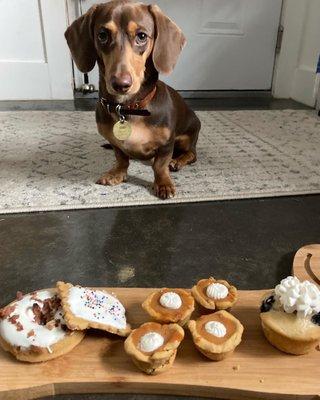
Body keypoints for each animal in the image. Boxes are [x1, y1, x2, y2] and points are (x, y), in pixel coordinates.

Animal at [64, 0, 200, 199]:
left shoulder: (167, 144)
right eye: (102, 35)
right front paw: (116, 174)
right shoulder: (115, 143)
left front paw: (164, 184)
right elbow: (121, 159)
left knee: (191, 154)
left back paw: (177, 161)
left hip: (186, 138)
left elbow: (160, 165)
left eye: (142, 36)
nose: (121, 84)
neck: (128, 107)